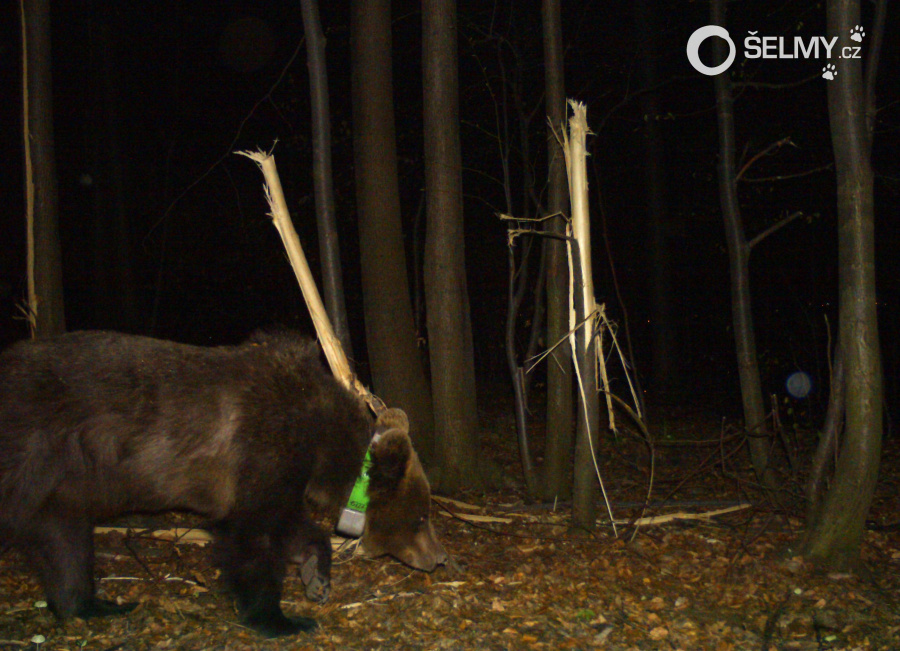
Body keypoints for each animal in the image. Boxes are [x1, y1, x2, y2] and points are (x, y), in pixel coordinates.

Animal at [0, 334, 448, 640]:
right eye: (421, 517)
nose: (438, 558)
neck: (323, 441)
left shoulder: (283, 474)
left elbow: (291, 524)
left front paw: (315, 576)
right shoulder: (264, 445)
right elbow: (253, 535)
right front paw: (279, 618)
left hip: (61, 480)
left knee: (66, 540)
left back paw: (96, 604)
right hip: (30, 451)